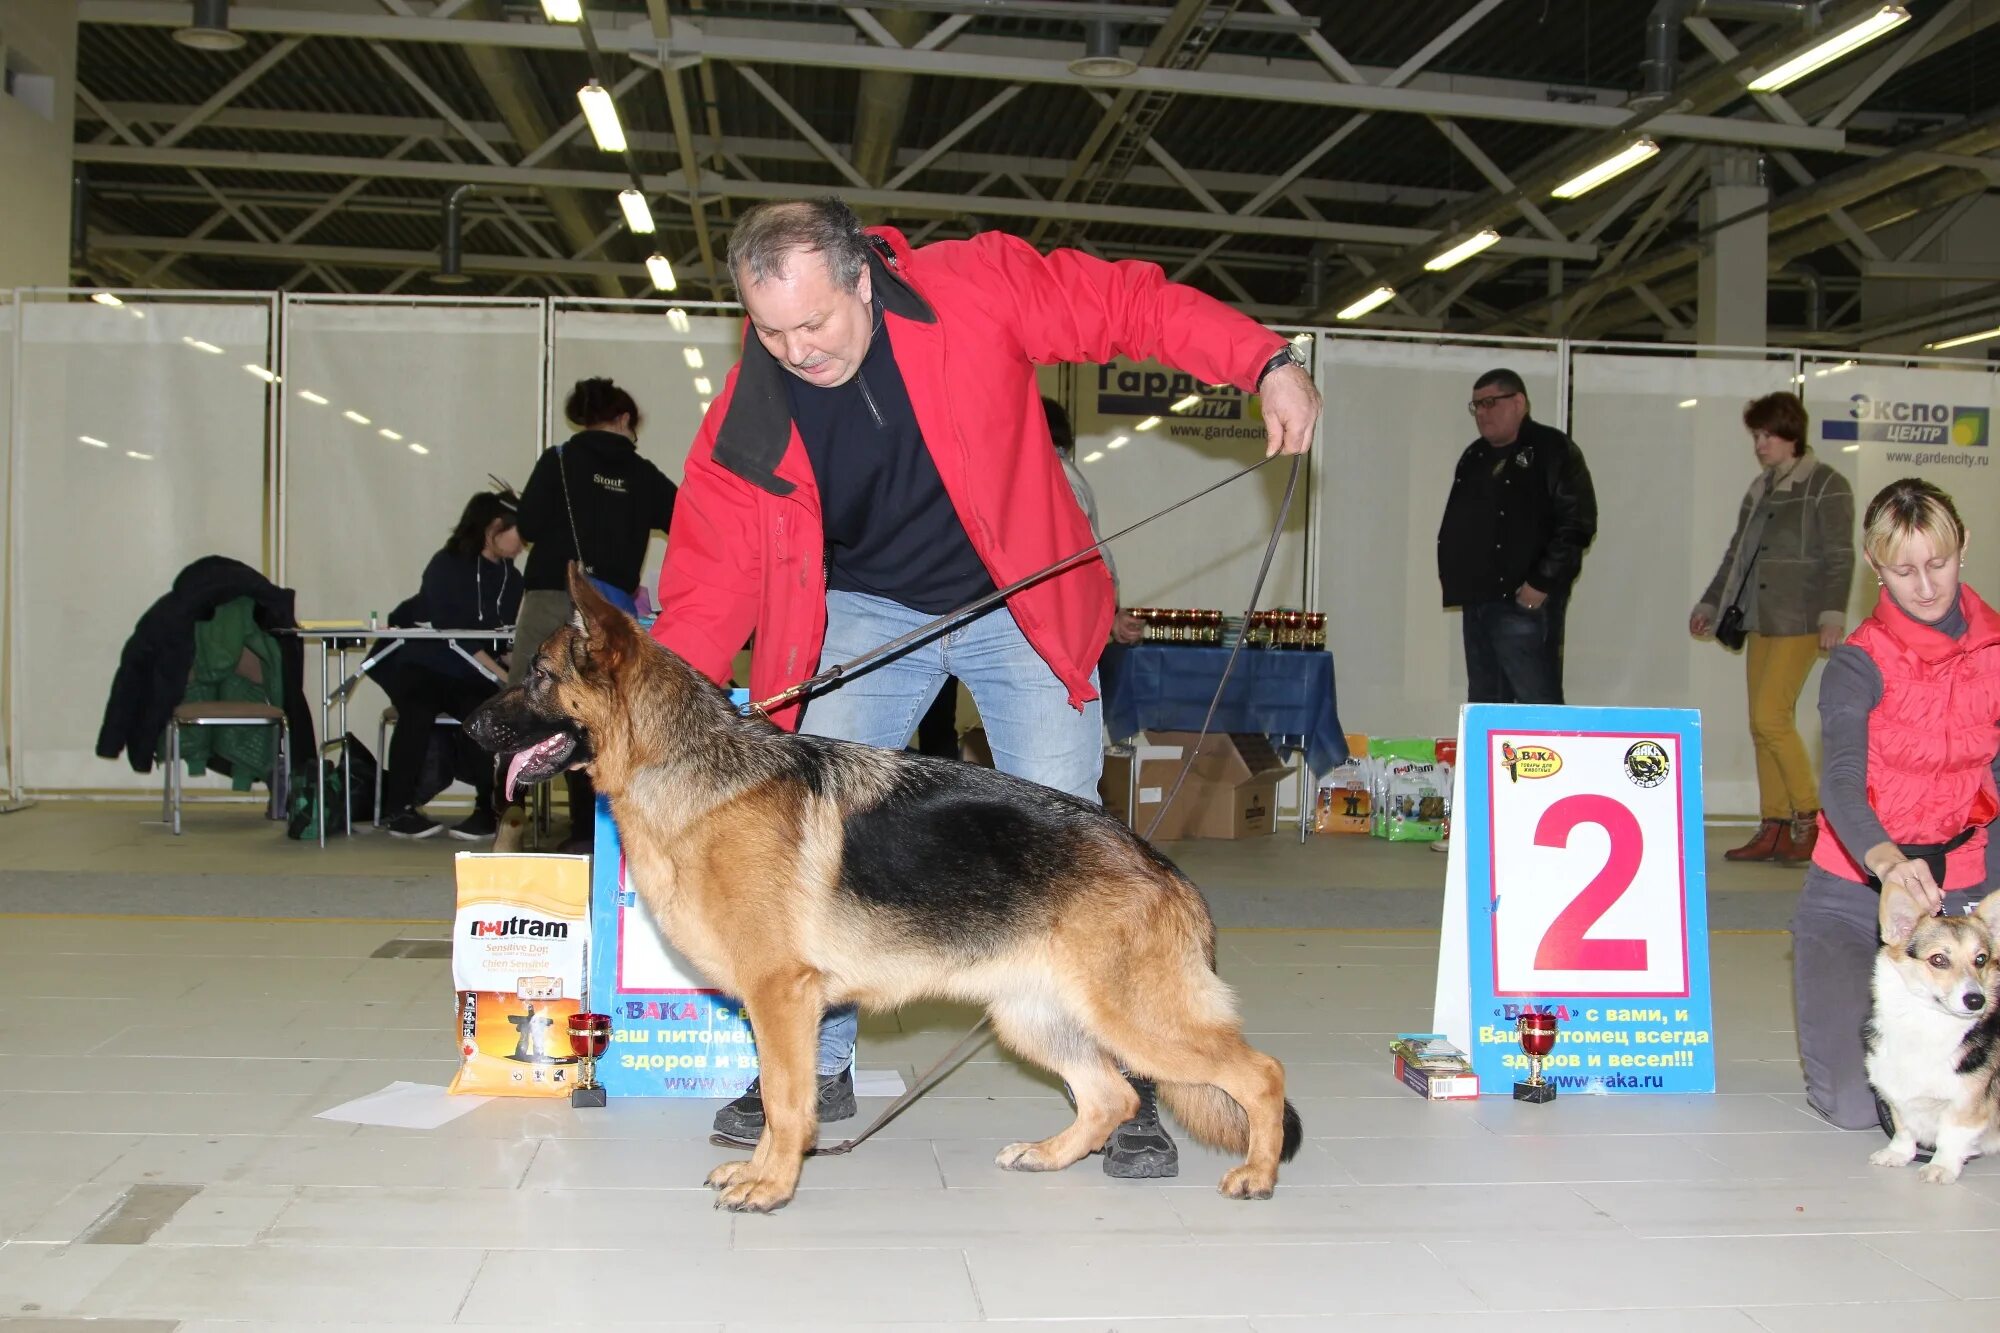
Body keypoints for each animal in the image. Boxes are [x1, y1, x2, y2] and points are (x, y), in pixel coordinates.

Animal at [472, 564, 1312, 1208]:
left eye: (539, 676)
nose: (470, 727)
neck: (685, 763)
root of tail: (1163, 867)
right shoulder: (781, 1006)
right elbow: (778, 1098)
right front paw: (762, 1170)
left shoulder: (781, 996)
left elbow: (787, 1099)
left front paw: (773, 1185)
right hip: (1035, 1018)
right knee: (1116, 1095)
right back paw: (1049, 1153)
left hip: (1135, 1019)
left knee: (1258, 1073)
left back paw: (1259, 1172)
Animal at [1856, 880, 2000, 1184]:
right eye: (1938, 959)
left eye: (1981, 959)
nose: (1976, 1000)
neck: (1926, 1023)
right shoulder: (1895, 1092)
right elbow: (1903, 1127)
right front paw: (1897, 1154)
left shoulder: (1967, 1104)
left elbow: (1952, 1136)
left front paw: (1941, 1167)